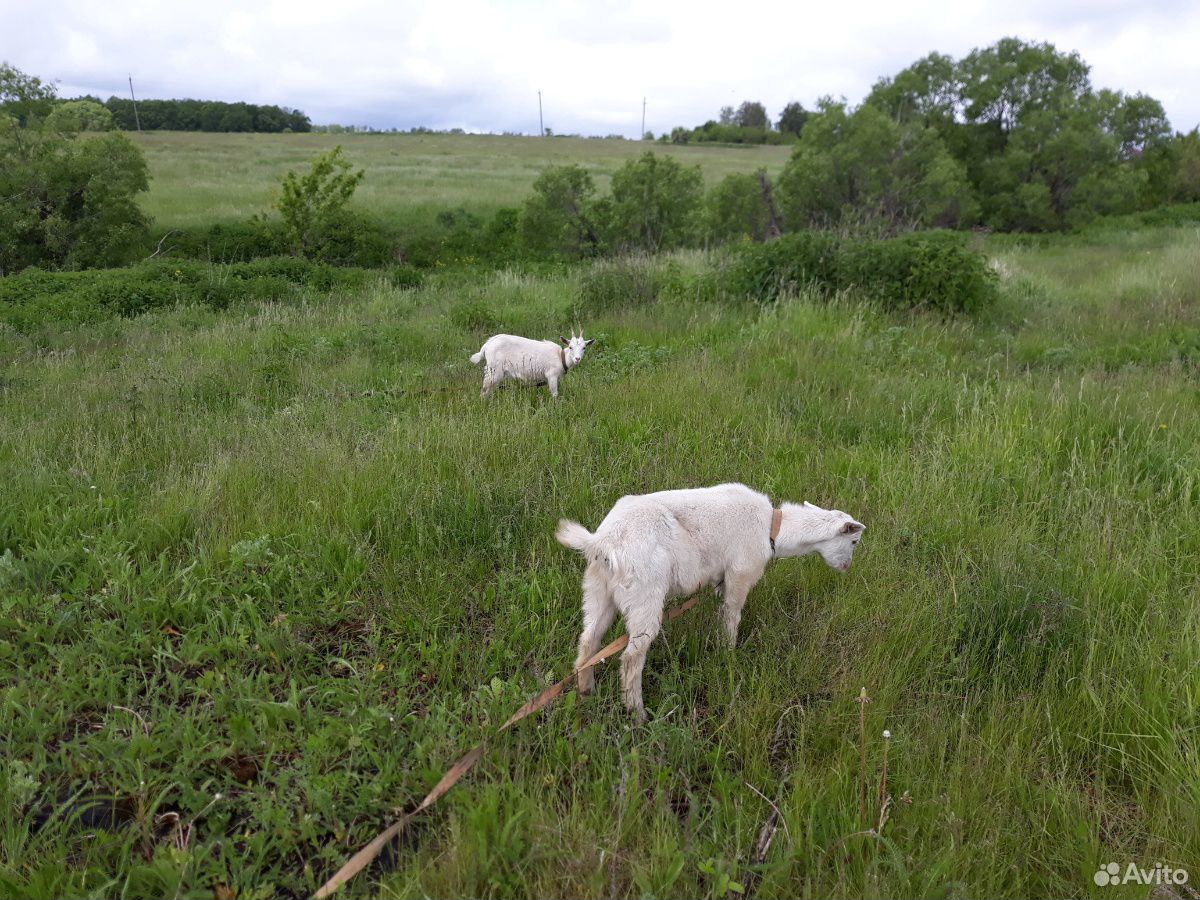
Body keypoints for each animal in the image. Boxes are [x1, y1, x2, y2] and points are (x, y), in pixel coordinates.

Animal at [554, 482, 864, 724]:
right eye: (854, 541)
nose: (847, 567)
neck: (772, 528)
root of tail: (603, 542)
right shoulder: (740, 574)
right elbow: (731, 616)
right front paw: (728, 656)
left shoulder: (722, 581)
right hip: (644, 593)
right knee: (632, 656)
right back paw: (638, 716)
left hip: (597, 589)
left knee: (588, 642)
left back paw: (586, 694)